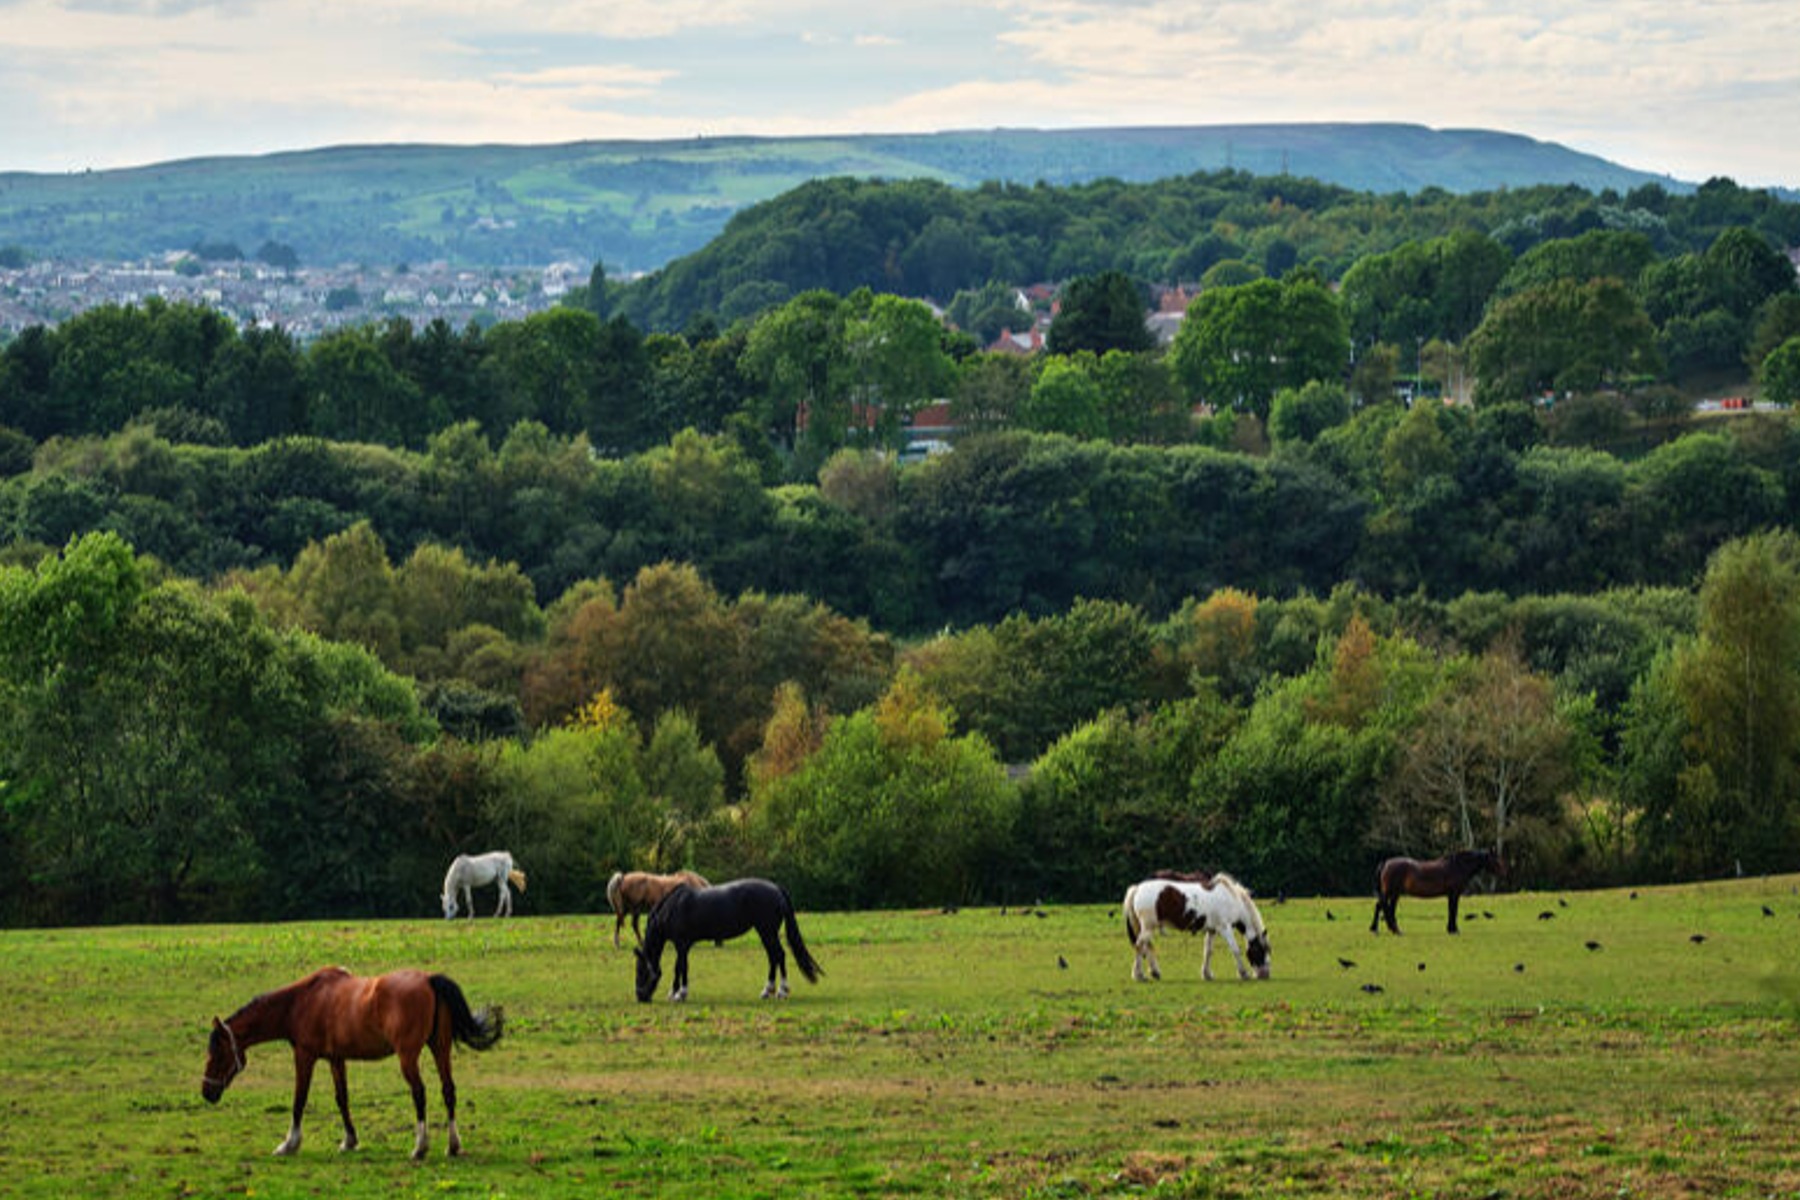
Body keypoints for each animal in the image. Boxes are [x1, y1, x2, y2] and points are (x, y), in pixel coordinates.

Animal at [200, 966, 503, 1160]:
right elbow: (342, 1098)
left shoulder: (305, 1056)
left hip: (408, 1056)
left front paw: (289, 1144)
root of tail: (429, 979)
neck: (301, 1001)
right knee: (448, 1090)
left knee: (419, 1093)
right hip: (440, 1049)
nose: (207, 1092)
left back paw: (420, 1147)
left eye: (217, 1053)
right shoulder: (336, 1059)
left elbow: (299, 1099)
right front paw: (349, 1140)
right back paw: (453, 1146)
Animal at [633, 878, 823, 1003]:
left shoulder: (682, 944)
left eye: (640, 971)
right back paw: (767, 991)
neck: (672, 908)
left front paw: (679, 994)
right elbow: (680, 967)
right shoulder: (683, 946)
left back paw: (782, 991)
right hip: (765, 933)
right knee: (773, 957)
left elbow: (680, 967)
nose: (640, 997)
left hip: (767, 931)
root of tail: (776, 888)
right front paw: (676, 993)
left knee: (779, 955)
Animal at [1122, 872, 1271, 982]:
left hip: (1146, 928)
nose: (1265, 975)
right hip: (1148, 927)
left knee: (1145, 947)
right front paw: (1243, 973)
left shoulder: (1212, 930)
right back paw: (1139, 975)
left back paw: (1154, 972)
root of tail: (1137, 888)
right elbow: (1235, 950)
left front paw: (1207, 974)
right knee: (1139, 946)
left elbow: (1208, 951)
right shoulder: (1225, 928)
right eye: (1261, 950)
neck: (1232, 900)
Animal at [1369, 848, 1504, 935]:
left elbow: (1451, 910)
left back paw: (1389, 929)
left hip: (1395, 893)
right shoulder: (1454, 893)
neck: (1457, 866)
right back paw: (1382, 929)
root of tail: (1386, 862)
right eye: (1494, 859)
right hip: (1390, 892)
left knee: (1387, 908)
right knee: (1382, 907)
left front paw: (1451, 929)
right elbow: (1453, 910)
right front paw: (1454, 930)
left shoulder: (1450, 895)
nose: (1503, 871)